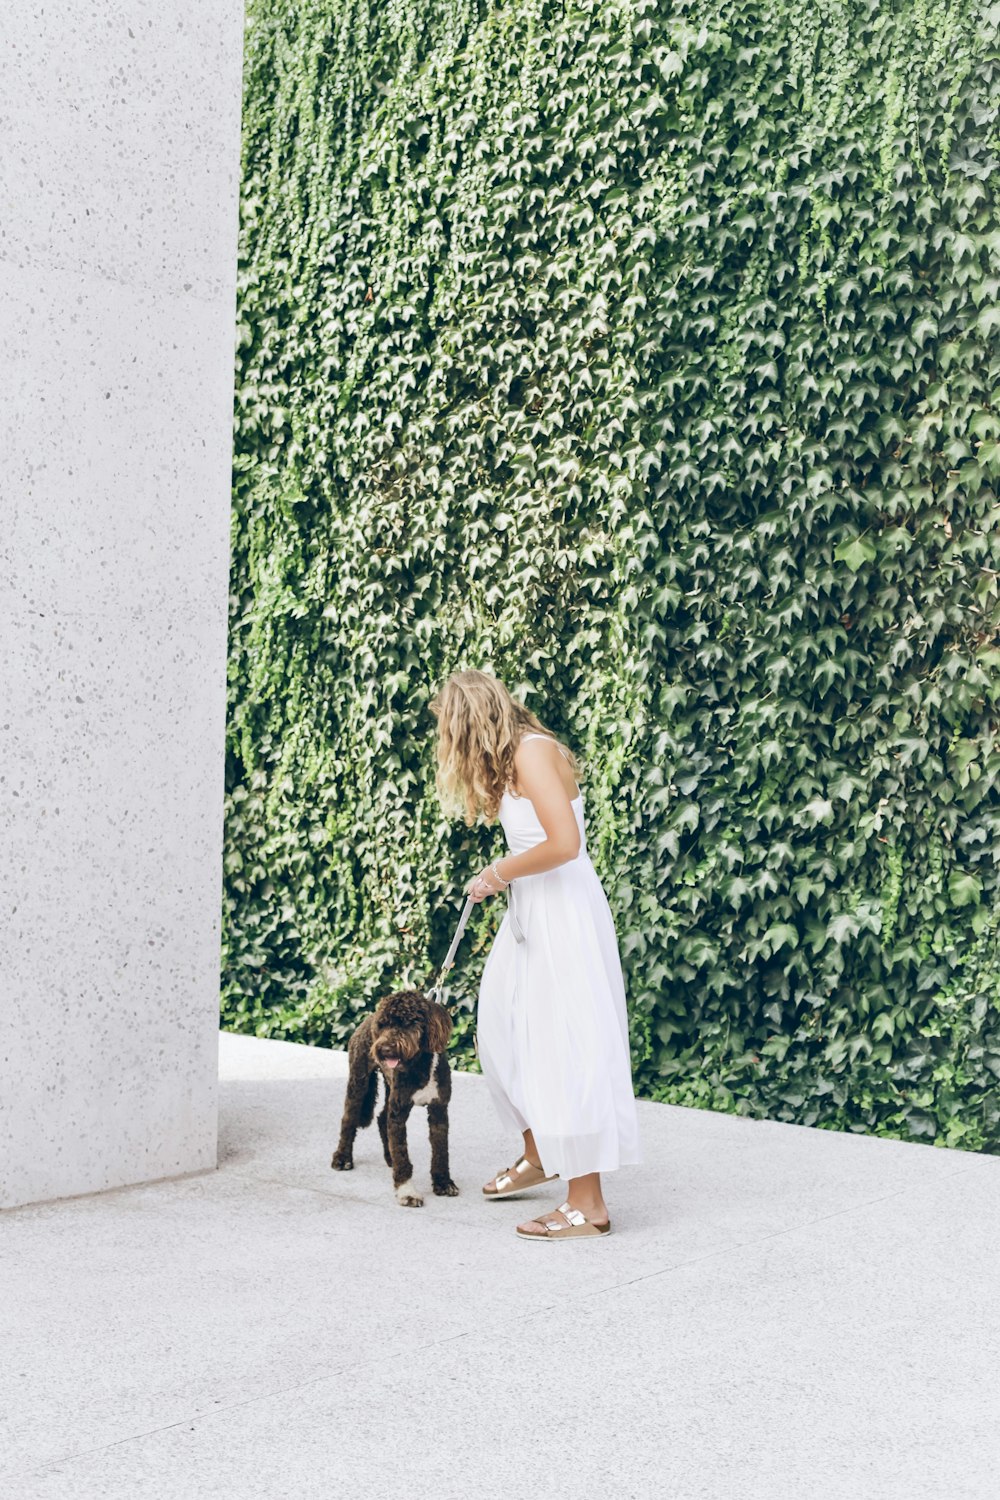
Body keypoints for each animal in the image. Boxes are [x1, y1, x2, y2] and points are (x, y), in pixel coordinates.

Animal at [329, 996, 458, 1206]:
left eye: (410, 1022)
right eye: (384, 1025)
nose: (385, 1048)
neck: (419, 1066)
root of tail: (367, 1020)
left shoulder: (439, 1109)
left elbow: (441, 1151)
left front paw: (443, 1183)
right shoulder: (399, 1113)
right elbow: (402, 1154)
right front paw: (407, 1192)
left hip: (390, 1090)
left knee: (382, 1118)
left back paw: (389, 1157)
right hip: (358, 1081)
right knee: (348, 1119)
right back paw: (342, 1158)